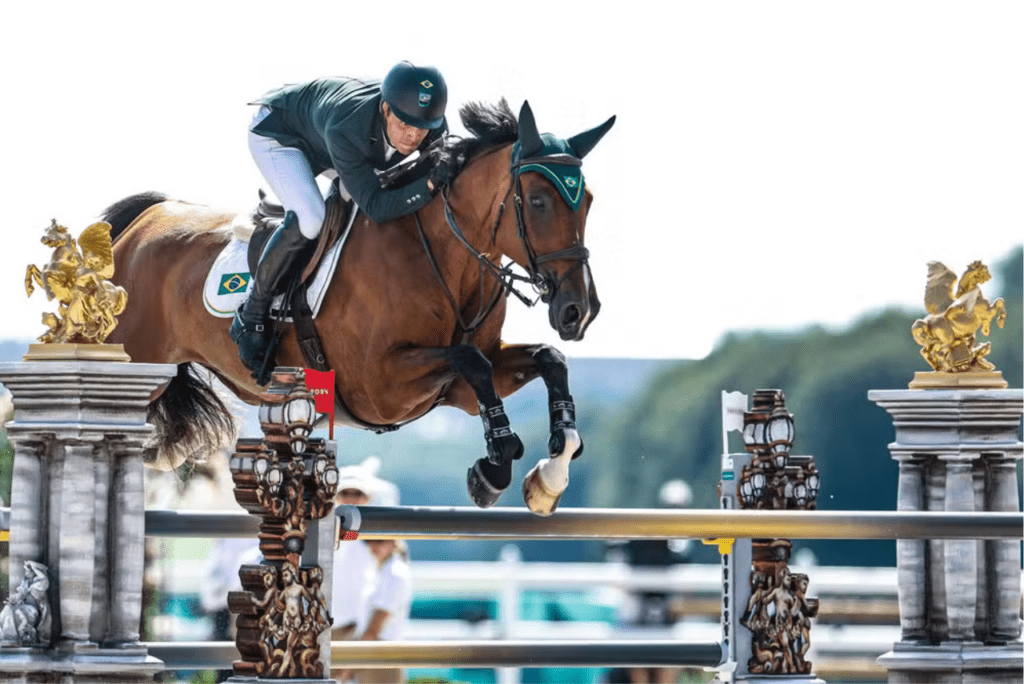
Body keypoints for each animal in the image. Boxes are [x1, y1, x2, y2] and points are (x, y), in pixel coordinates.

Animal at [103, 98, 610, 516]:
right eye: (539, 201)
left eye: (587, 201)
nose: (579, 311)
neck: (442, 253)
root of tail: (146, 220)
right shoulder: (381, 386)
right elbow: (472, 360)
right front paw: (497, 466)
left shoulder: (457, 393)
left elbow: (546, 359)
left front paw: (549, 473)